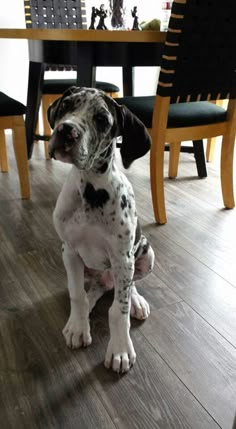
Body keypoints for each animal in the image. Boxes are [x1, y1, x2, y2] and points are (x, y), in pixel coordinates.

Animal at [48, 86, 155, 372]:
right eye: (66, 105)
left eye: (102, 120)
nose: (66, 130)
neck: (91, 190)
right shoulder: (69, 251)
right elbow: (76, 294)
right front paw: (77, 327)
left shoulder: (122, 258)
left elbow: (118, 311)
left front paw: (120, 349)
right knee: (92, 291)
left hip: (144, 256)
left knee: (129, 286)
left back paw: (136, 301)